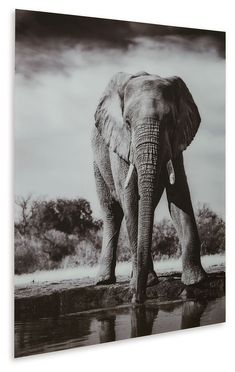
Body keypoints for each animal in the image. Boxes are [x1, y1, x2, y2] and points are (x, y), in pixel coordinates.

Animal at [91, 71, 206, 304]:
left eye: (170, 120)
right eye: (127, 122)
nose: (137, 299)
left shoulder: (176, 141)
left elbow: (179, 195)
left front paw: (195, 281)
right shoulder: (120, 145)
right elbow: (129, 199)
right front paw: (148, 283)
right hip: (98, 164)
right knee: (112, 213)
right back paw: (104, 281)